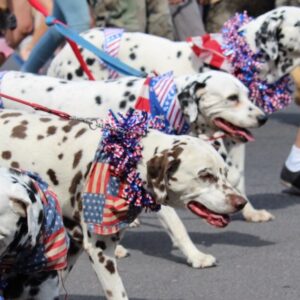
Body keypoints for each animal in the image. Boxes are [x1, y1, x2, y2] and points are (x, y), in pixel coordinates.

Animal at [0, 69, 268, 268]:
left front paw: (251, 211)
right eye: (232, 98)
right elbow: (178, 227)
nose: (263, 118)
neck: (163, 103)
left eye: (247, 94)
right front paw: (196, 256)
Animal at [47, 4, 300, 221]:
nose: (263, 119)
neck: (239, 53)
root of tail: (60, 55)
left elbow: (238, 174)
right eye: (298, 23)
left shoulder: (233, 134)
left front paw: (250, 211)